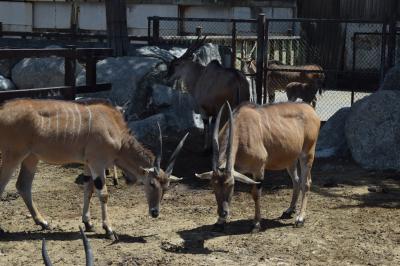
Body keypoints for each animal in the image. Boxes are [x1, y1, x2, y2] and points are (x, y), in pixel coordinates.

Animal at [0, 98, 188, 240]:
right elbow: (103, 194)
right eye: (151, 184)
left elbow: (88, 189)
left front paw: (88, 223)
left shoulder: (88, 164)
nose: (155, 212)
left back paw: (43, 222)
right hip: (13, 155)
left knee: (23, 186)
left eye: (166, 188)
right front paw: (108, 229)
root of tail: (2, 111)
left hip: (31, 158)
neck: (115, 130)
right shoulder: (98, 163)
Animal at [195, 101, 320, 231]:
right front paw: (220, 221)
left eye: (231, 184)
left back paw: (300, 218)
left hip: (307, 155)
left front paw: (256, 223)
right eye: (212, 185)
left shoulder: (258, 169)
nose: (223, 213)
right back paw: (289, 211)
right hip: (291, 160)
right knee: (296, 181)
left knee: (306, 183)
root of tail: (311, 110)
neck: (240, 128)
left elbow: (256, 194)